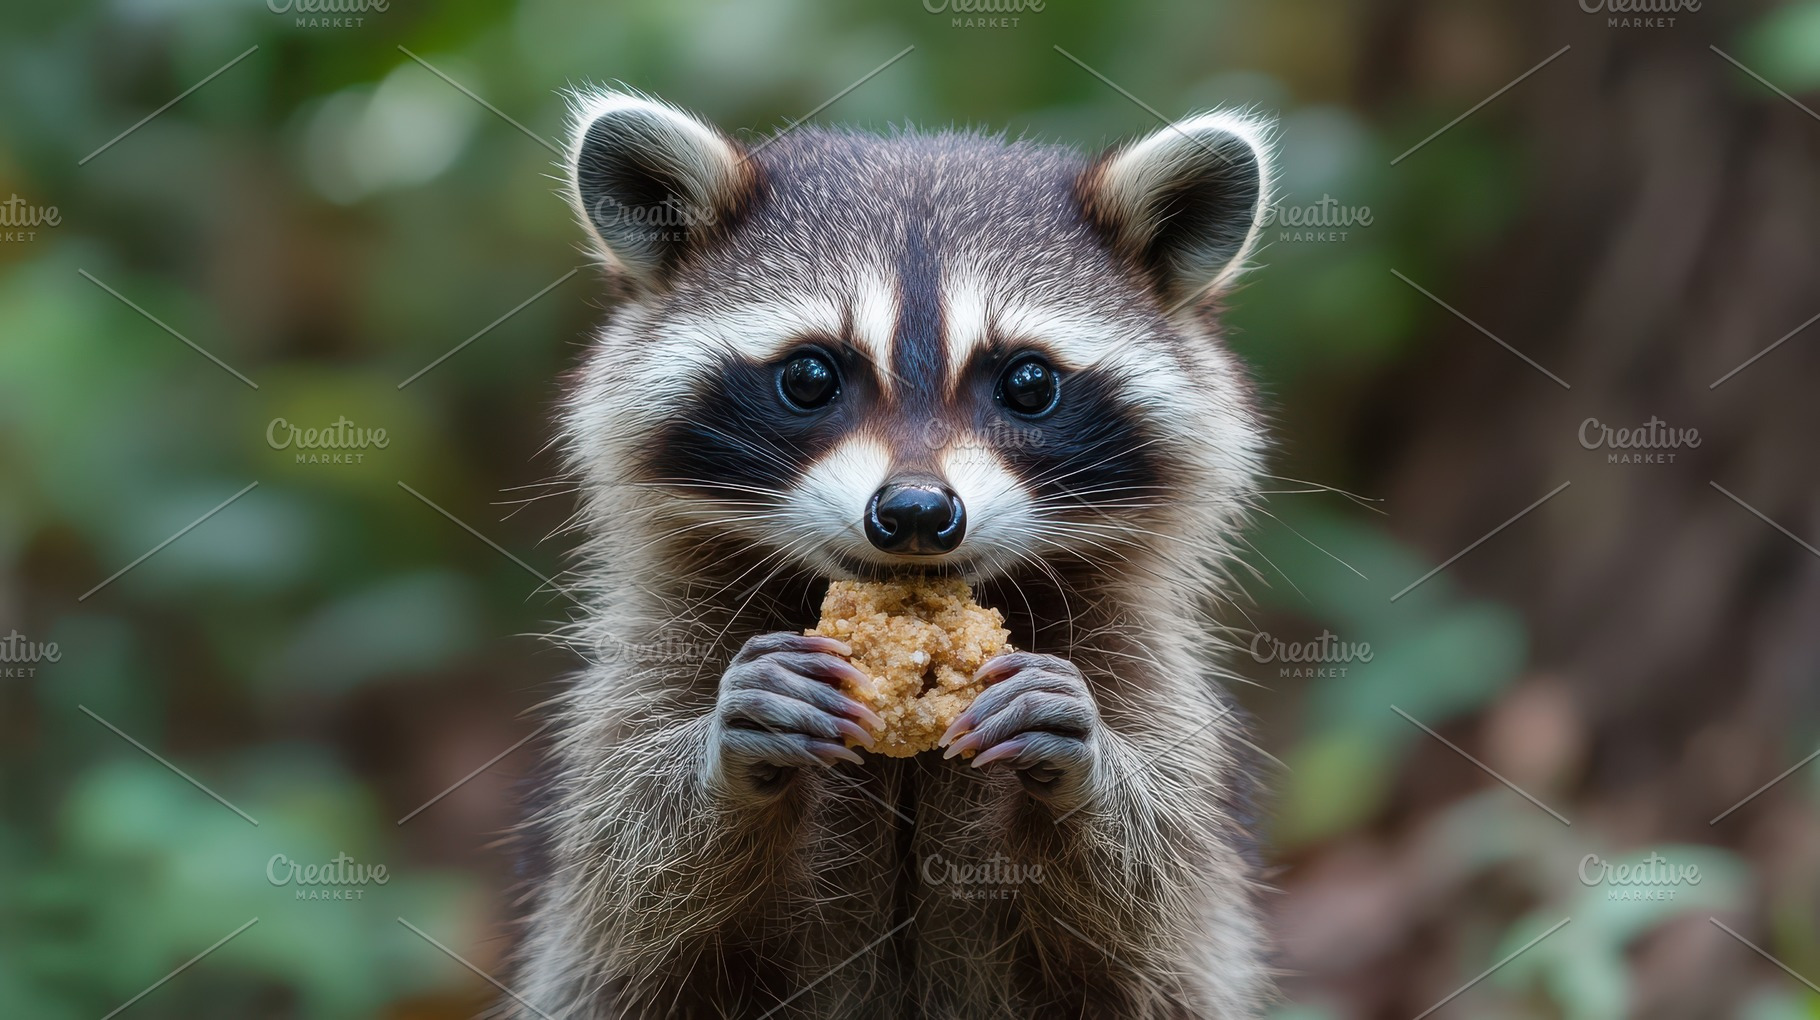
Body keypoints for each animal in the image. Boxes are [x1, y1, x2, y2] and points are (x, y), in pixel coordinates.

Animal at [512, 88, 1276, 1019]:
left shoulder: (1151, 675)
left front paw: (1089, 766)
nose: (915, 511)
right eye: (809, 377)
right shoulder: (654, 653)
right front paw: (721, 756)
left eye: (1028, 383)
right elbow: (629, 877)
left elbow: (1155, 896)